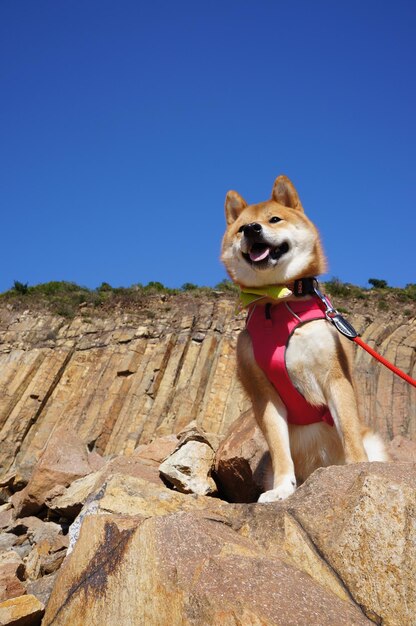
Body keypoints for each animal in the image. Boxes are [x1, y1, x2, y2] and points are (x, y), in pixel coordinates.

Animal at [221, 173, 386, 500]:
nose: (252, 229)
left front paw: (355, 468)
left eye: (274, 219)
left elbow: (349, 432)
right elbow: (280, 450)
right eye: (241, 228)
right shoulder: (264, 395)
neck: (277, 302)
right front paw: (282, 488)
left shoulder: (336, 377)